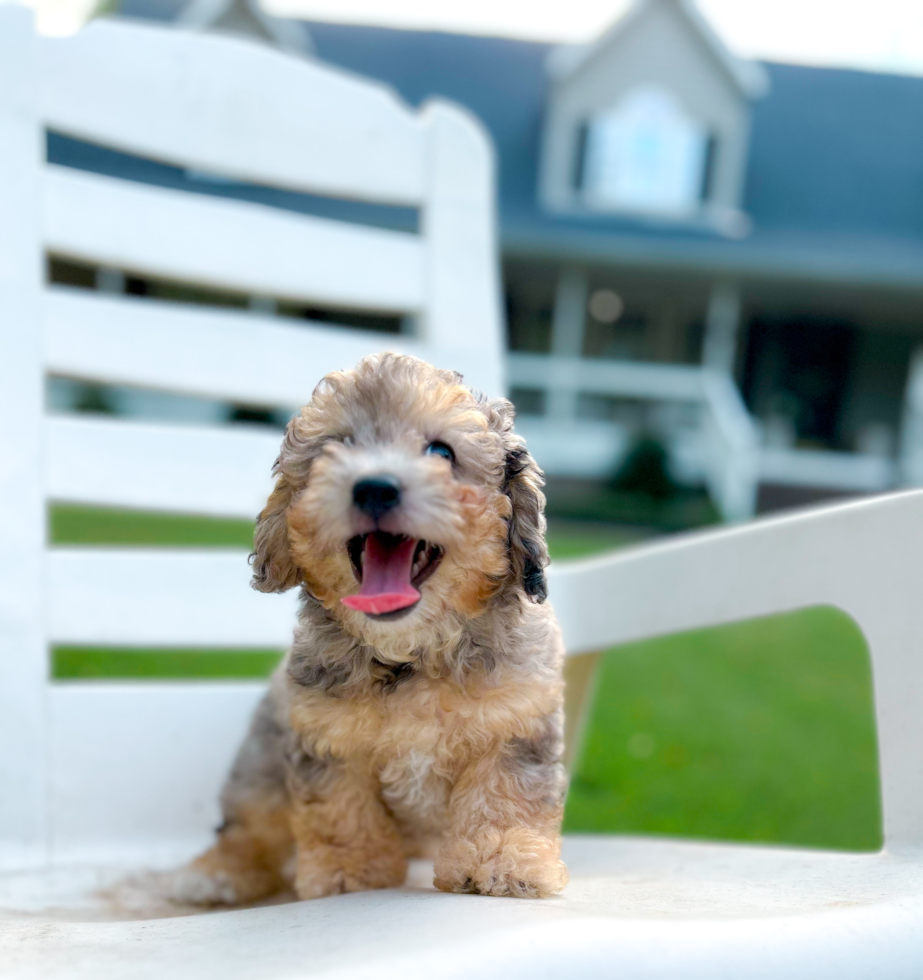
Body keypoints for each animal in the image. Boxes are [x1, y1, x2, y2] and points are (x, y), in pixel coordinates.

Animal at [170, 354, 568, 904]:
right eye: (335, 450)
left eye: (442, 452)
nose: (374, 487)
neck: (412, 651)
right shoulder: (326, 736)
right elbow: (340, 809)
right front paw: (349, 871)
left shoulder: (515, 719)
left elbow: (503, 795)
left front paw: (501, 861)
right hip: (261, 764)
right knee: (249, 826)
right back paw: (219, 872)